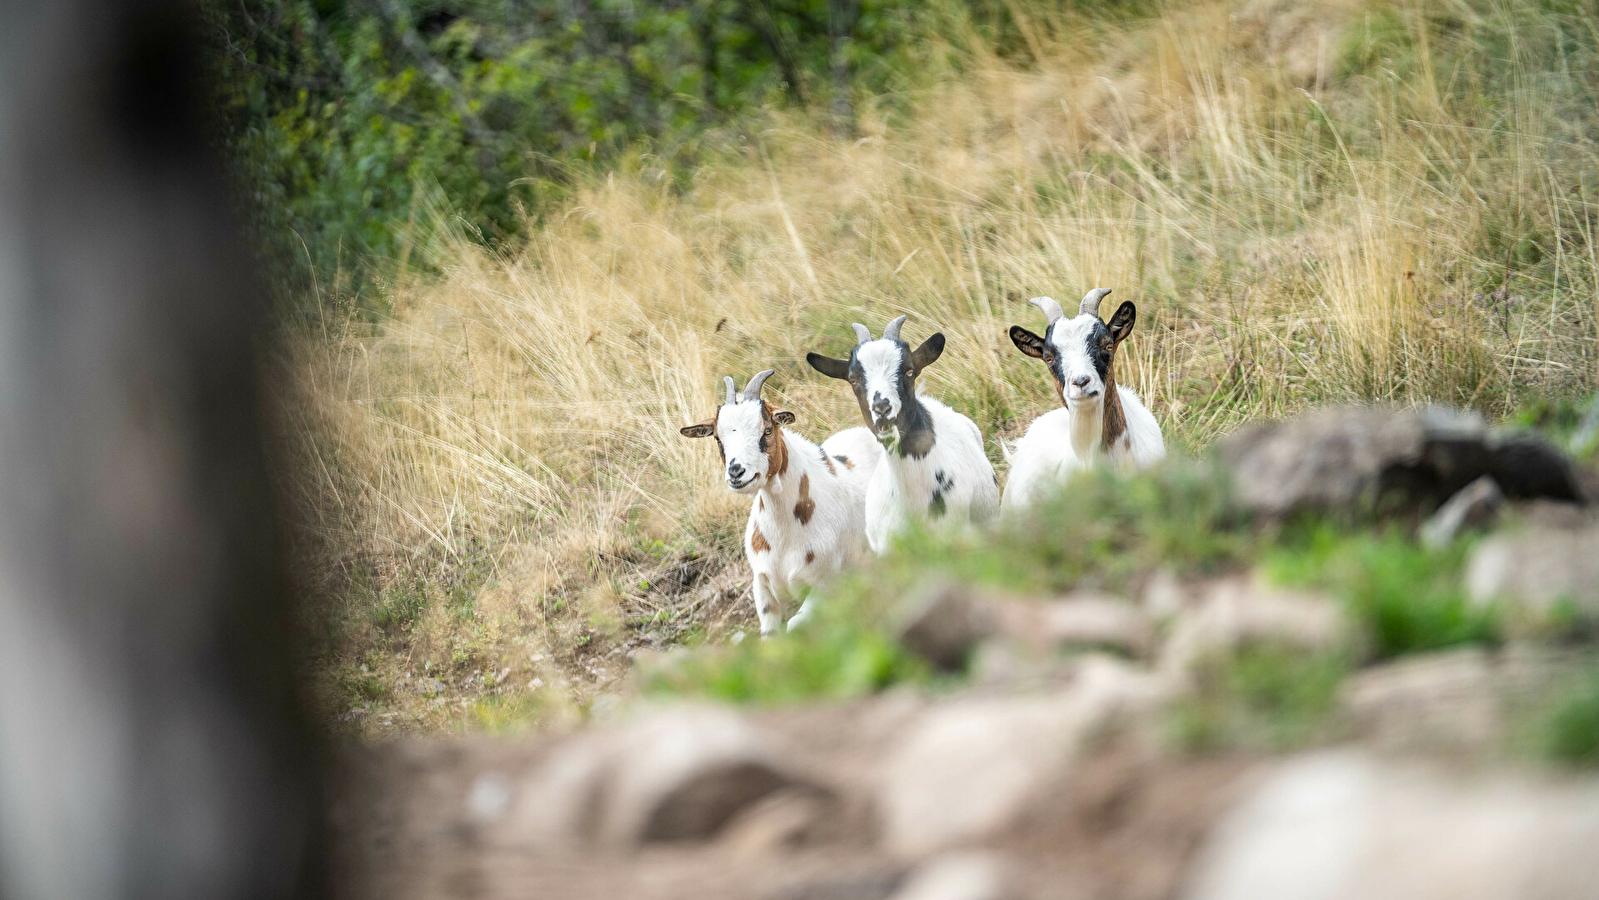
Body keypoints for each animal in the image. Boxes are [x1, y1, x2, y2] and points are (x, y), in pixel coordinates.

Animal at [677, 369, 882, 636]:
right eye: (718, 439)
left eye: (766, 430)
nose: (736, 472)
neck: (785, 534)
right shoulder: (763, 587)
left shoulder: (825, 585)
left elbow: (795, 625)